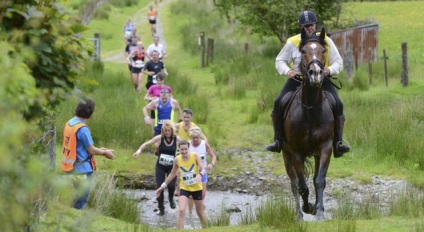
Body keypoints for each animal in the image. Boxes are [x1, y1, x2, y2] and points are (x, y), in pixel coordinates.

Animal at [280, 27, 336, 221]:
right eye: (303, 51)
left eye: (323, 50)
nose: (316, 73)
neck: (311, 109)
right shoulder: (296, 152)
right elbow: (302, 186)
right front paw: (308, 208)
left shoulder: (325, 148)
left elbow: (319, 181)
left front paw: (319, 211)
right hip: (287, 154)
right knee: (294, 183)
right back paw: (298, 213)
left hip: (317, 154)